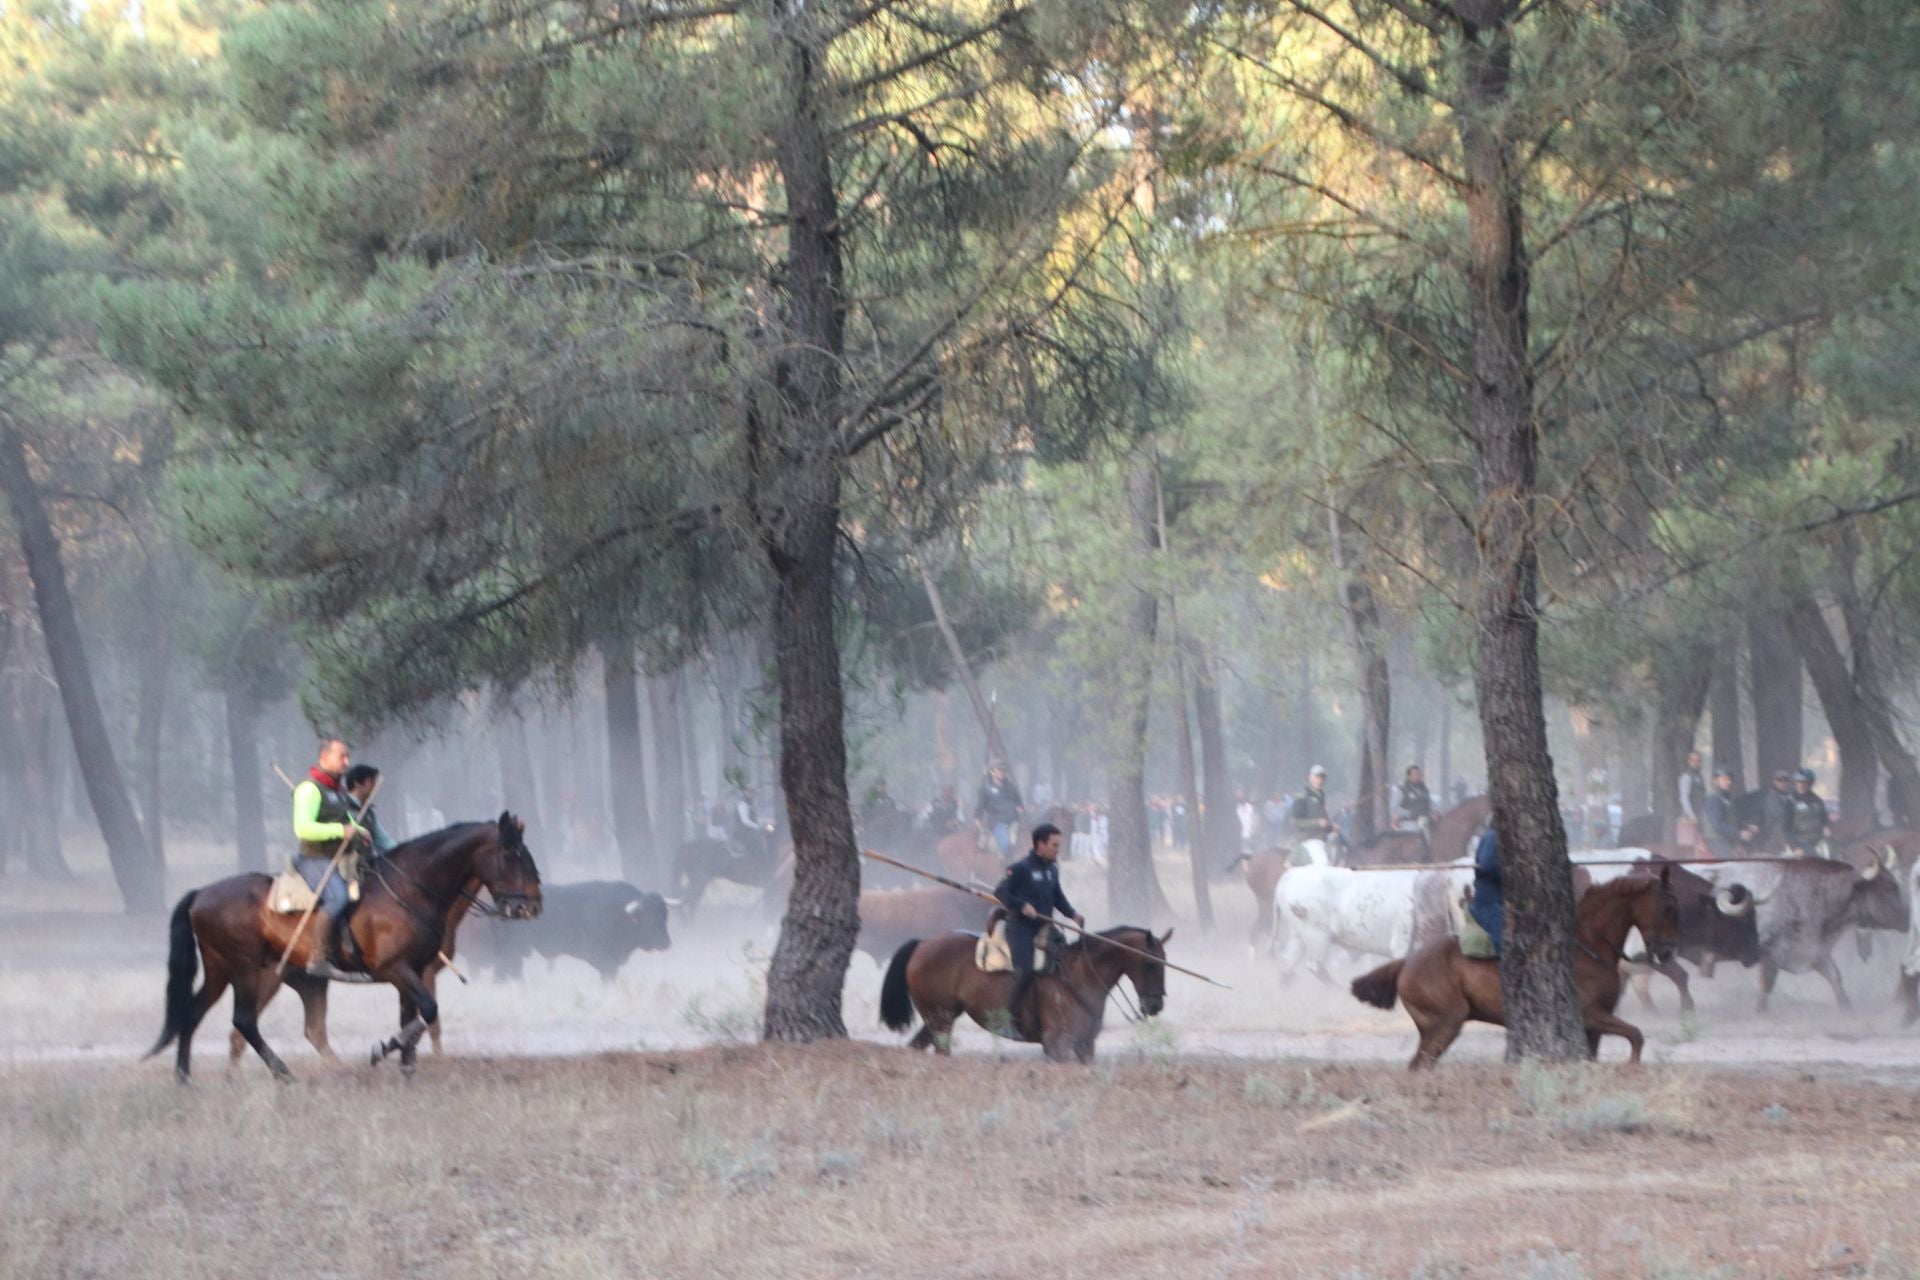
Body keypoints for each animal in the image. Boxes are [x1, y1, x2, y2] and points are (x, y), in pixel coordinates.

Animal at [146, 809, 541, 1082]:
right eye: (512, 855)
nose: (533, 905)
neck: (407, 889)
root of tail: (201, 893)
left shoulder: (412, 972)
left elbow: (412, 1017)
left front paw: (407, 1069)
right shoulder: (397, 969)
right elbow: (428, 1011)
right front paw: (384, 1049)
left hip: (224, 971)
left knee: (193, 1013)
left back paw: (184, 1078)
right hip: (246, 970)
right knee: (244, 1021)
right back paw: (285, 1074)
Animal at [879, 924, 1167, 1066]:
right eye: (1150, 964)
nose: (1155, 1005)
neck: (1078, 973)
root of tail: (922, 944)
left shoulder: (1085, 1045)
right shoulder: (1057, 1045)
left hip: (937, 1017)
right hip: (940, 1020)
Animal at [1351, 871, 1681, 1074]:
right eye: (1668, 906)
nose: (1666, 952)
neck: (1587, 943)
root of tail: (1406, 963)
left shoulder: (1594, 1024)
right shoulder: (1591, 1014)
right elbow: (1636, 1036)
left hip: (1433, 1029)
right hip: (1446, 1024)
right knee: (1420, 1065)